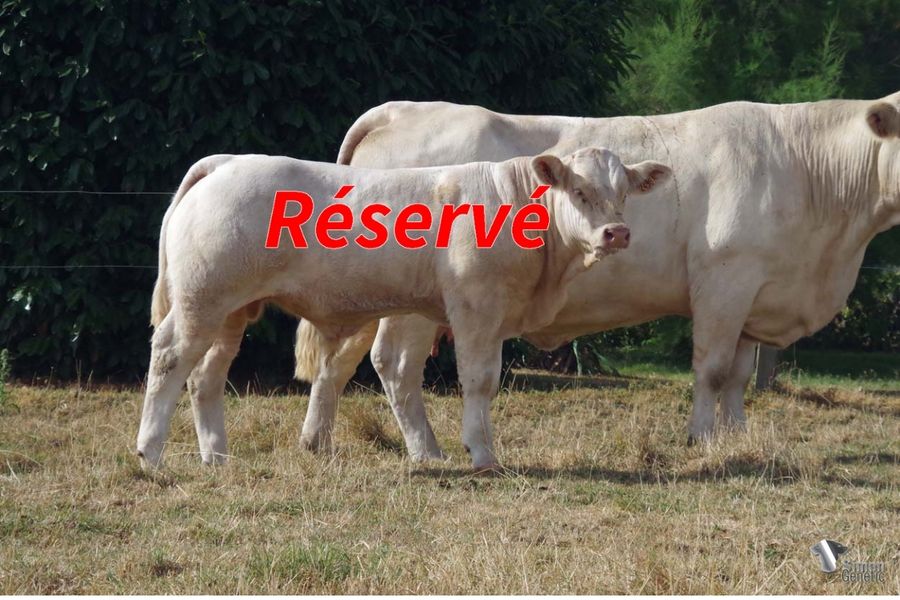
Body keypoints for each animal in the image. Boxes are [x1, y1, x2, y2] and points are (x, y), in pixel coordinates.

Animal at [136, 149, 672, 469]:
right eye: (579, 192)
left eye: (623, 194)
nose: (617, 233)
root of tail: (226, 161)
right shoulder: (477, 307)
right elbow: (479, 381)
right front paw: (482, 454)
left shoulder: (434, 313)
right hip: (200, 300)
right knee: (169, 357)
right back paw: (150, 452)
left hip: (231, 310)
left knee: (206, 375)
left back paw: (217, 456)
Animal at [293, 93, 900, 462]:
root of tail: (400, 109)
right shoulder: (725, 279)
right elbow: (712, 370)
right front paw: (702, 440)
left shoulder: (757, 291)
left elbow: (739, 377)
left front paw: (736, 439)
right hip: (413, 308)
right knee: (394, 364)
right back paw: (429, 452)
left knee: (336, 361)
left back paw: (316, 442)